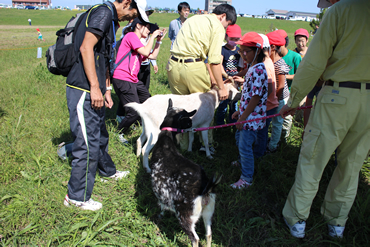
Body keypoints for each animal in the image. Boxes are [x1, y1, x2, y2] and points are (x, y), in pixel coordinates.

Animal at [151, 99, 221, 247]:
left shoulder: (160, 192)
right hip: (208, 212)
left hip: (186, 215)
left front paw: (161, 214)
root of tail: (205, 188)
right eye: (186, 118)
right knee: (208, 234)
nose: (192, 123)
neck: (166, 142)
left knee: (195, 238)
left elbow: (161, 204)